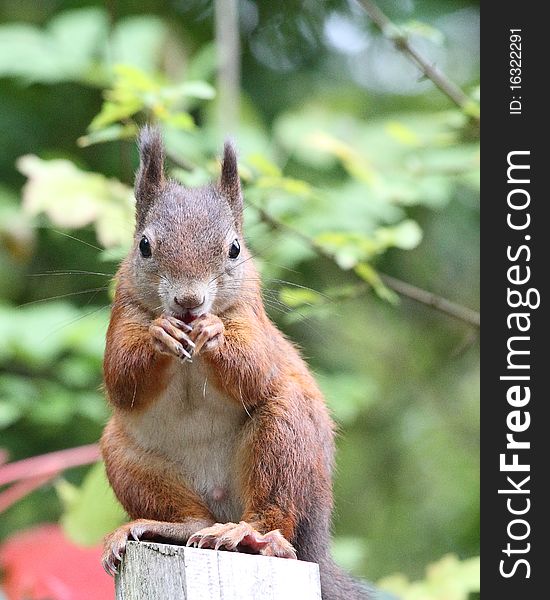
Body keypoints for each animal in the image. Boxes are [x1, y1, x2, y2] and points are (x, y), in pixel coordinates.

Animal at [101, 126, 368, 600]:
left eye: (235, 248)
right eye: (144, 246)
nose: (189, 302)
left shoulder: (250, 312)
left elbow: (256, 366)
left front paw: (215, 332)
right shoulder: (124, 307)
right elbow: (120, 375)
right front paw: (160, 335)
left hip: (285, 438)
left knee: (277, 514)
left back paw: (250, 534)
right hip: (128, 459)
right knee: (191, 517)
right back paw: (162, 527)